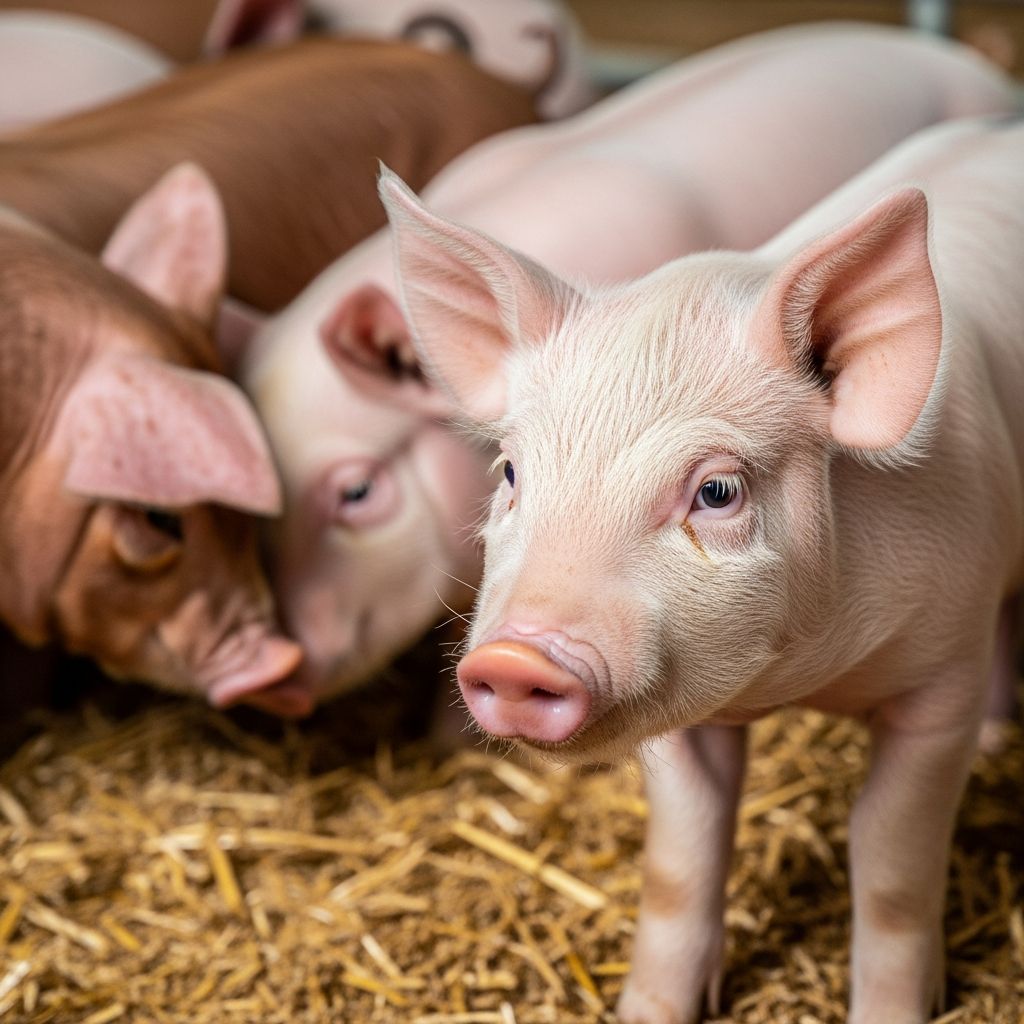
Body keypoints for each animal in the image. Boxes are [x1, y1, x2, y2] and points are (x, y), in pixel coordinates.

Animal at [379, 113, 1024, 1024]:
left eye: (717, 491)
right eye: (509, 473)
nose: (512, 659)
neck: (804, 678)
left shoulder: (940, 680)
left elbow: (889, 860)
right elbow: (682, 858)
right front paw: (647, 1011)